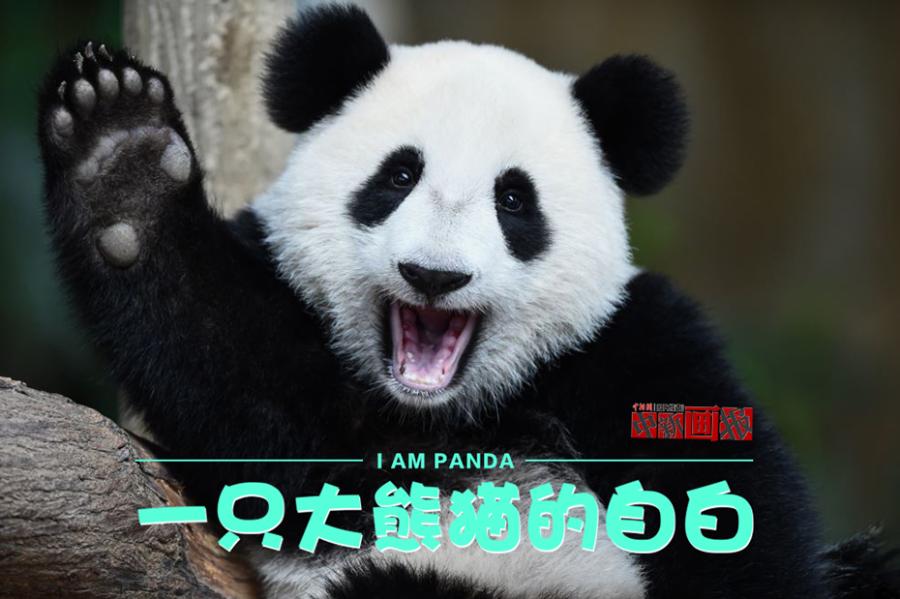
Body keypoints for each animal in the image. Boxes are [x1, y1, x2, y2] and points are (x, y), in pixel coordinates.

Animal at [36, 4, 895, 599]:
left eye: (514, 199)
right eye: (397, 176)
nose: (434, 275)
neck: (445, 413)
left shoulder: (627, 343)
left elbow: (732, 506)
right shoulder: (303, 381)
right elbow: (241, 382)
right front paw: (123, 159)